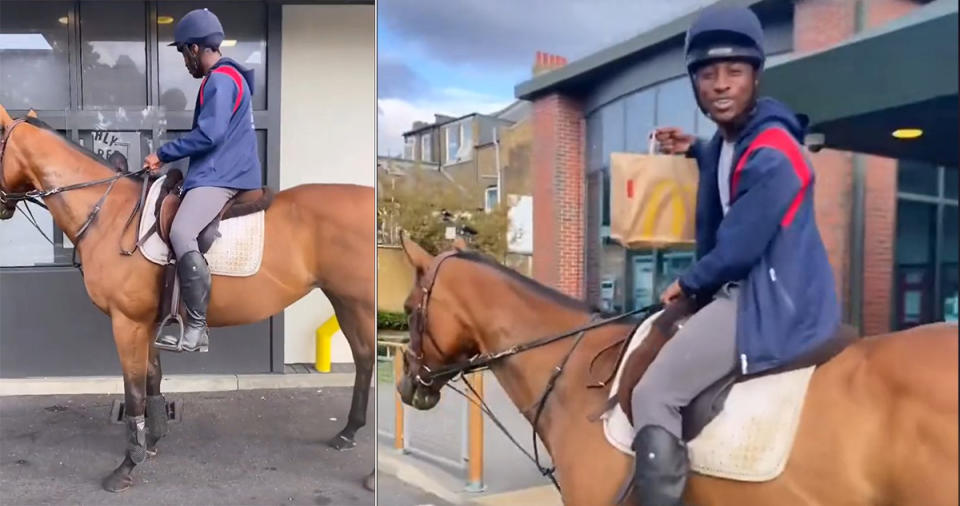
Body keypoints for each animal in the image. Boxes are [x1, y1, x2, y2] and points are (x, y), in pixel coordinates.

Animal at [0, 105, 376, 490]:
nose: (2, 209)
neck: (111, 215)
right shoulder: (145, 323)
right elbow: (153, 378)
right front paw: (151, 442)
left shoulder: (126, 323)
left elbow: (134, 391)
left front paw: (127, 465)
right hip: (345, 301)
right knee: (364, 359)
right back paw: (348, 432)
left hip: (362, 302)